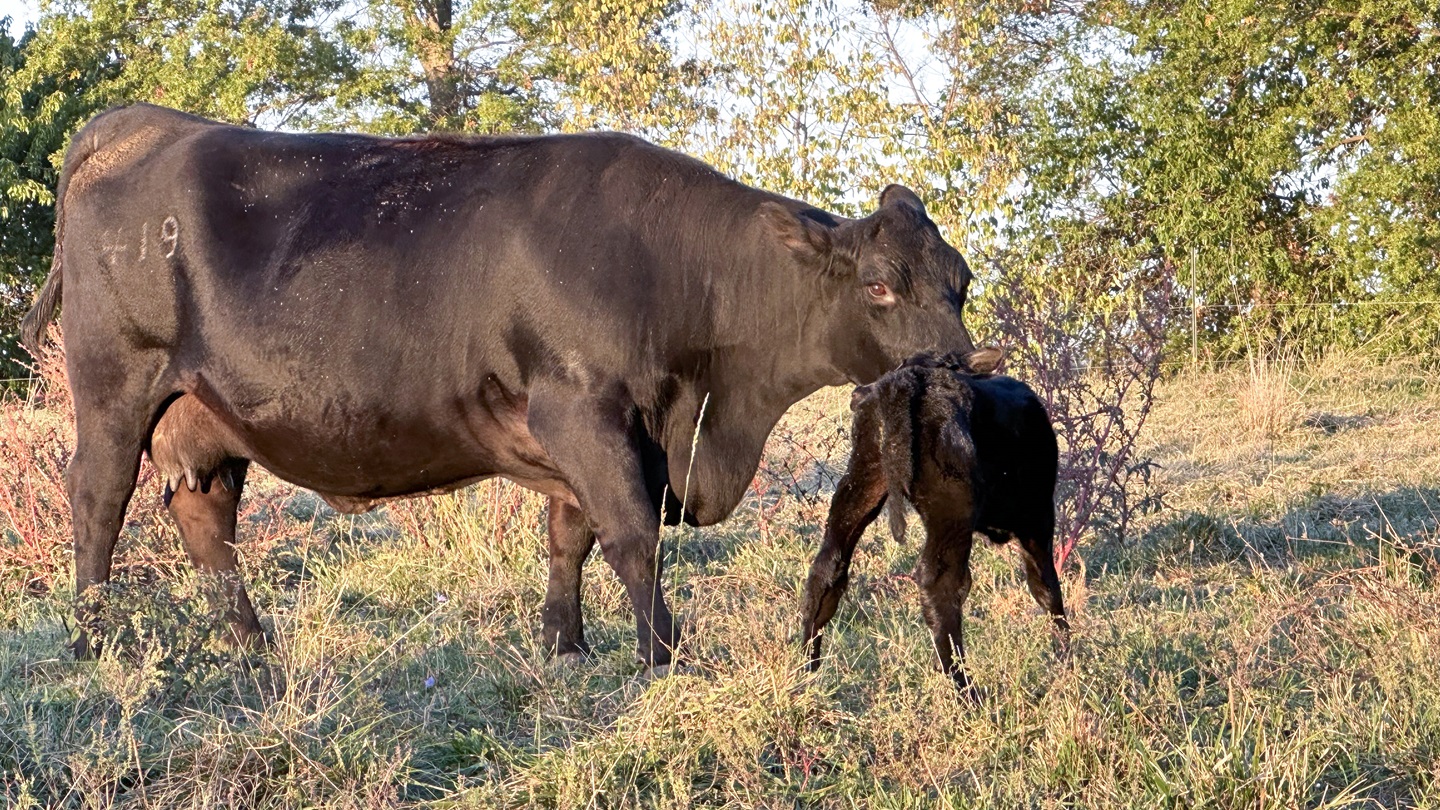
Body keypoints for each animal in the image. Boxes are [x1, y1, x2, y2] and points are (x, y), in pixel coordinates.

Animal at [21, 103, 977, 671]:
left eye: (961, 281)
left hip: (204, 415)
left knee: (205, 518)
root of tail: (142, 123)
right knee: (97, 499)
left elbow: (569, 537)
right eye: (879, 286)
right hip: (115, 388)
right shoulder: (584, 411)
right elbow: (632, 538)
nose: (959, 370)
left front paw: (565, 646)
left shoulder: (590, 427)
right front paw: (662, 659)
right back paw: (93, 640)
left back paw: (258, 650)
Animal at [798, 350, 1068, 693]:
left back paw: (807, 668)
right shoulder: (1037, 516)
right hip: (952, 508)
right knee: (940, 583)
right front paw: (1067, 658)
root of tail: (906, 380)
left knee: (827, 567)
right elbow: (1046, 586)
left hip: (860, 483)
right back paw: (966, 689)